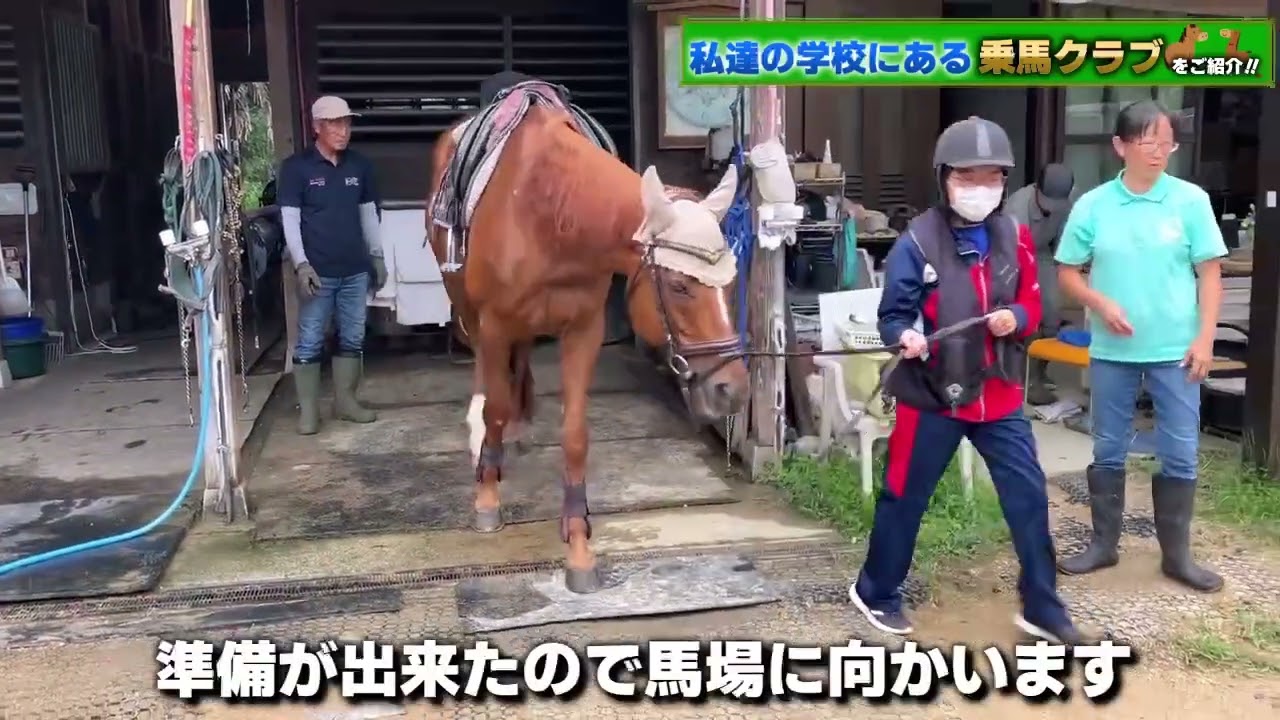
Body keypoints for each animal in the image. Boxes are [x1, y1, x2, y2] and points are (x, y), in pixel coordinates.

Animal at [427, 95, 749, 594]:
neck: (550, 213)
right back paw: (484, 447)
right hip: (467, 309)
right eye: (679, 287)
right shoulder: (495, 322)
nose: (732, 389)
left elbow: (575, 435)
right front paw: (487, 496)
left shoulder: (583, 329)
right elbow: (494, 406)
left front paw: (578, 546)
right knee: (486, 379)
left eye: (731, 283)